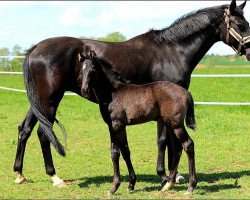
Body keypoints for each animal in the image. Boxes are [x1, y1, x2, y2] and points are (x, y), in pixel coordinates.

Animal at [81, 51, 196, 194]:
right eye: (82, 70)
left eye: (93, 70)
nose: (84, 90)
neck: (113, 93)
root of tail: (186, 92)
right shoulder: (110, 126)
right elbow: (114, 153)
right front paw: (113, 188)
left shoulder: (118, 125)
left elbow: (125, 152)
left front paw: (130, 184)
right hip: (169, 124)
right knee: (177, 148)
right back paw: (168, 184)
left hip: (176, 125)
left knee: (188, 145)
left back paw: (190, 187)